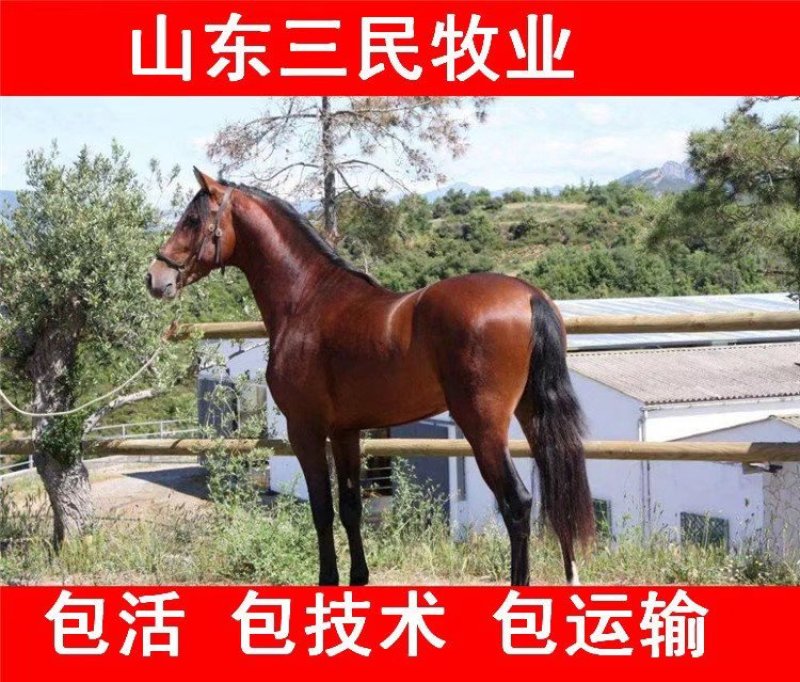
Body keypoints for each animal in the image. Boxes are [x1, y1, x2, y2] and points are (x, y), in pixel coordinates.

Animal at [146, 168, 594, 586]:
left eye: (191, 219)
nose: (155, 278)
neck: (306, 298)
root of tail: (529, 295)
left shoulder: (305, 430)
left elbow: (322, 509)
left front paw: (327, 579)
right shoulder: (346, 432)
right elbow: (350, 507)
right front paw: (357, 578)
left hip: (483, 425)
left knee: (517, 504)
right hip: (532, 415)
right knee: (556, 493)